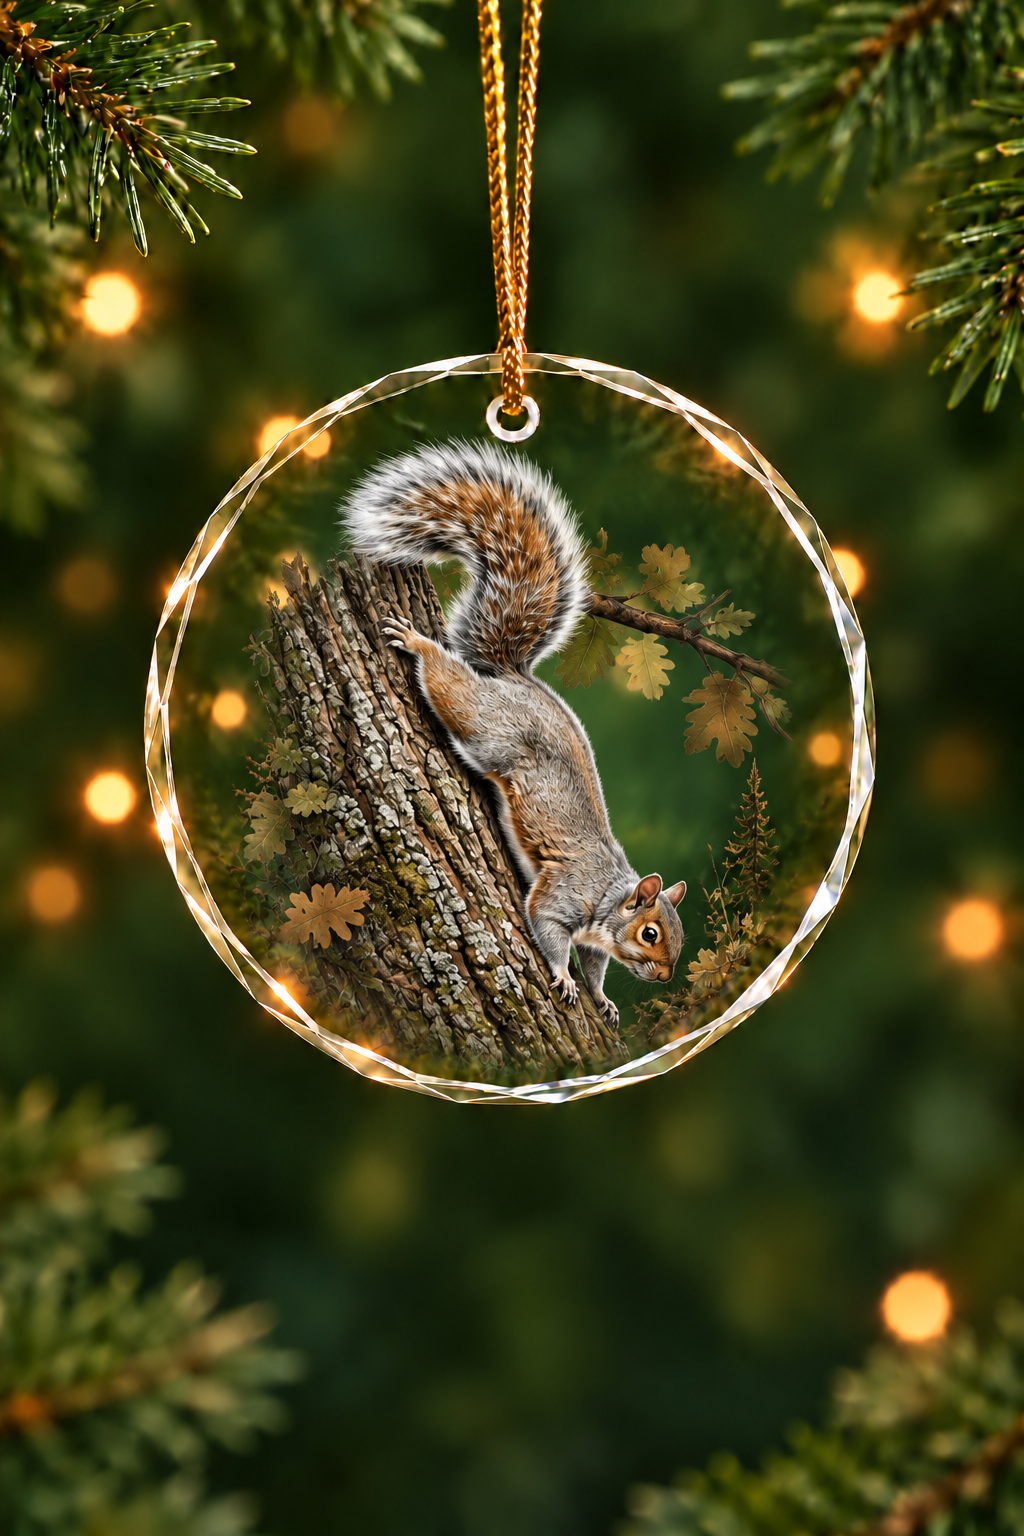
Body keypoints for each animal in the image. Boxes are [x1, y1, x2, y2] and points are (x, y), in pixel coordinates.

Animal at [341, 438, 686, 1025]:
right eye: (649, 933)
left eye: (678, 938)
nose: (663, 977)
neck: (607, 896)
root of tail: (511, 677)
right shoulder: (561, 896)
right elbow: (547, 929)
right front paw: (563, 978)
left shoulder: (597, 943)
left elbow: (597, 967)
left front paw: (602, 998)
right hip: (485, 727)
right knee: (450, 688)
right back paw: (416, 642)